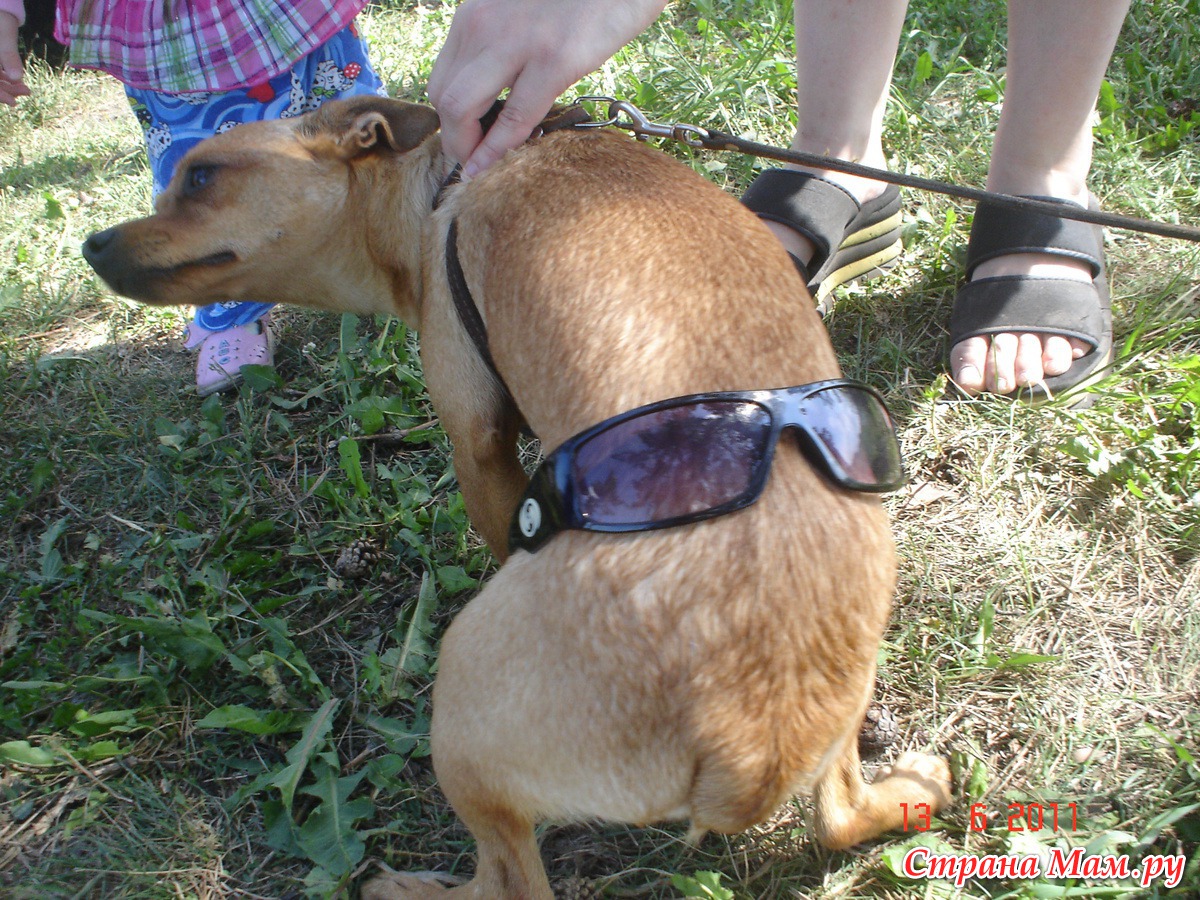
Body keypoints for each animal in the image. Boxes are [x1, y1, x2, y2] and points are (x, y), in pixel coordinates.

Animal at [79, 95, 950, 897]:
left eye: (200, 174)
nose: (92, 242)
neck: (447, 183)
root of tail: (748, 742)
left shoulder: (479, 438)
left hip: (461, 716)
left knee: (509, 881)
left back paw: (411, 889)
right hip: (848, 691)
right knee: (839, 816)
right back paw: (913, 790)